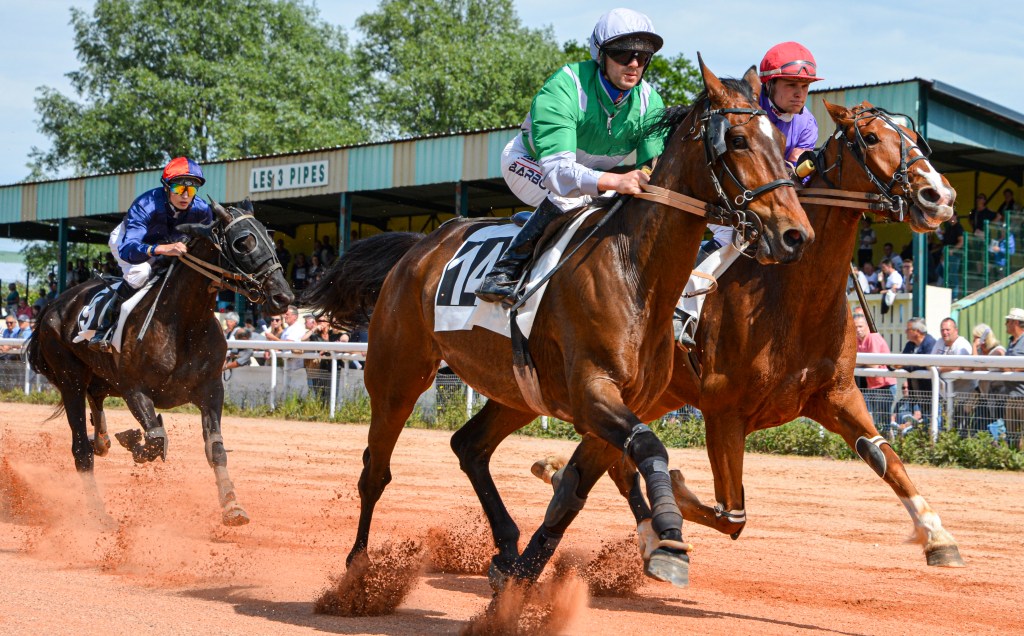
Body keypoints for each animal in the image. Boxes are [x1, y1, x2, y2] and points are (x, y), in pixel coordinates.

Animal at [27, 200, 294, 526]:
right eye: (243, 242)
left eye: (271, 239)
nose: (283, 296)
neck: (184, 324)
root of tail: (52, 305)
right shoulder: (135, 390)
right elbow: (155, 439)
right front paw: (135, 440)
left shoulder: (211, 390)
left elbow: (215, 448)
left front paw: (232, 506)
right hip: (70, 379)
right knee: (81, 450)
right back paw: (100, 515)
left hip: (99, 378)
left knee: (96, 409)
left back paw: (102, 440)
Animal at [303, 59, 813, 590]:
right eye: (737, 139)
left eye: (781, 139)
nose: (795, 235)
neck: (635, 272)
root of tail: (415, 248)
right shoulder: (592, 391)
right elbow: (649, 448)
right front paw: (669, 538)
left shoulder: (624, 404)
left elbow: (576, 489)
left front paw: (525, 570)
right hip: (397, 374)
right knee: (375, 471)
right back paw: (357, 570)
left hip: (517, 389)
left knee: (469, 446)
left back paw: (506, 546)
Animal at [536, 99, 964, 568]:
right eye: (870, 138)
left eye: (915, 137)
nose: (940, 196)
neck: (793, 298)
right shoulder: (724, 411)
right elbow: (731, 514)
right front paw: (677, 493)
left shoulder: (838, 394)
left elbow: (886, 457)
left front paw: (938, 536)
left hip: (652, 393)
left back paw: (560, 473)